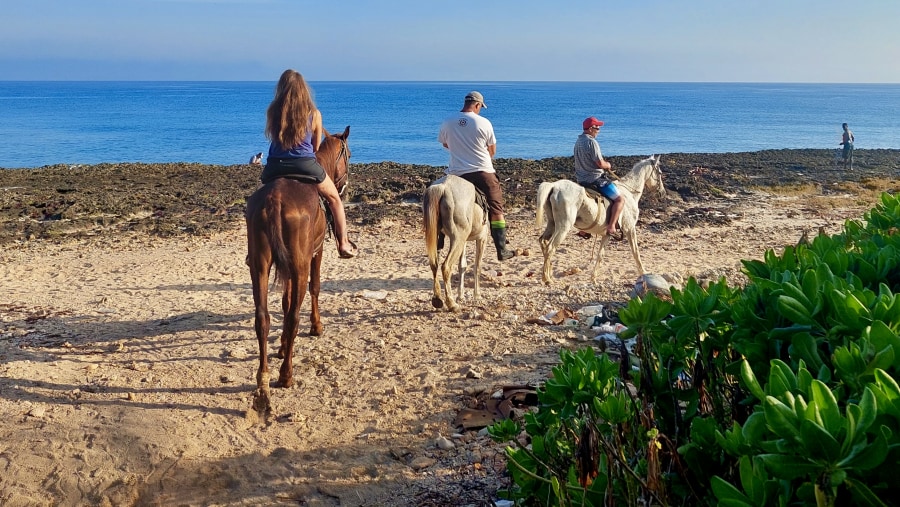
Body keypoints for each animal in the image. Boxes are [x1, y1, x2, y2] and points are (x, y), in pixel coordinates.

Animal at [246, 126, 352, 416]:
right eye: (349, 155)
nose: (344, 185)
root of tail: (274, 200)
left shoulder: (288, 268)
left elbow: (284, 302)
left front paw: (282, 347)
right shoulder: (316, 253)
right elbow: (314, 289)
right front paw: (316, 326)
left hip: (260, 265)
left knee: (263, 318)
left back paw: (263, 380)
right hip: (301, 265)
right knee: (294, 316)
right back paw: (286, 375)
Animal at [424, 175, 488, 312]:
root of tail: (442, 187)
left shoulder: (464, 242)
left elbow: (462, 265)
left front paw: (461, 295)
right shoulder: (482, 238)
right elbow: (477, 266)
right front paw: (477, 295)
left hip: (449, 238)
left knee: (434, 264)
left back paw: (437, 300)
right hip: (458, 238)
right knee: (446, 266)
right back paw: (452, 304)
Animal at [536, 155, 668, 286]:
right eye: (660, 173)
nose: (662, 193)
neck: (629, 193)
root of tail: (554, 186)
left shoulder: (607, 234)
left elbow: (600, 255)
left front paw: (593, 278)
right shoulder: (630, 229)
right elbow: (635, 251)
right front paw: (643, 272)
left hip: (552, 224)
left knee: (543, 242)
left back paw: (548, 275)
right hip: (564, 226)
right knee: (550, 247)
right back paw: (547, 279)